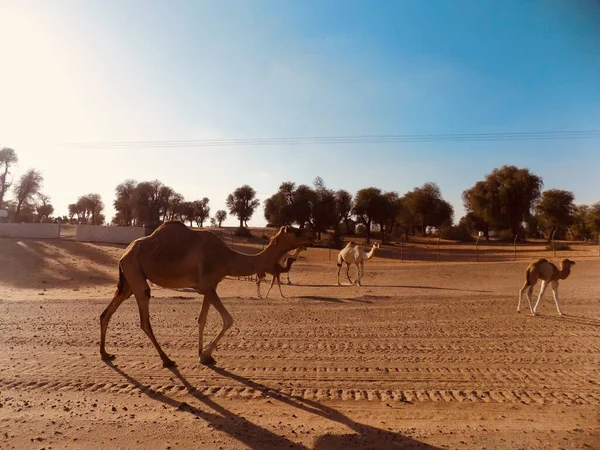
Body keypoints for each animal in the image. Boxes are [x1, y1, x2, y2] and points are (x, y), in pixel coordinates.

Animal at [99, 221, 314, 366]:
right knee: (144, 319)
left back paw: (105, 353)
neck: (227, 259)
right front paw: (206, 355)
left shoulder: (210, 287)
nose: (310, 237)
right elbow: (228, 320)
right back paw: (167, 360)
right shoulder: (208, 286)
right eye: (296, 231)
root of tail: (123, 253)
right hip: (136, 275)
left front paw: (202, 353)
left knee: (106, 313)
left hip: (128, 282)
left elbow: (202, 319)